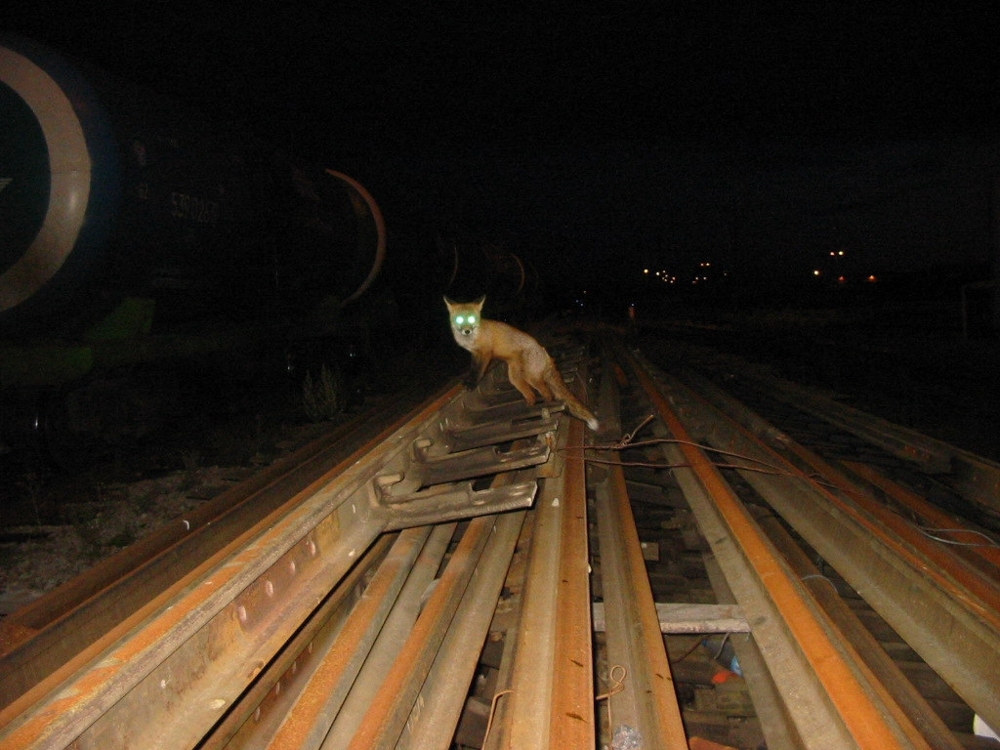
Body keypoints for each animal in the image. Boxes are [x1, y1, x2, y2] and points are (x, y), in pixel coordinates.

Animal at [442, 296, 596, 432]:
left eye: (472, 319)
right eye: (459, 319)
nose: (466, 330)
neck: (472, 337)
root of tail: (546, 354)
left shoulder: (485, 353)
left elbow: (478, 371)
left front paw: (472, 384)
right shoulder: (474, 354)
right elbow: (472, 369)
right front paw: (467, 380)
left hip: (532, 378)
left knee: (549, 394)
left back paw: (543, 409)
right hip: (516, 378)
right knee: (532, 396)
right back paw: (529, 412)